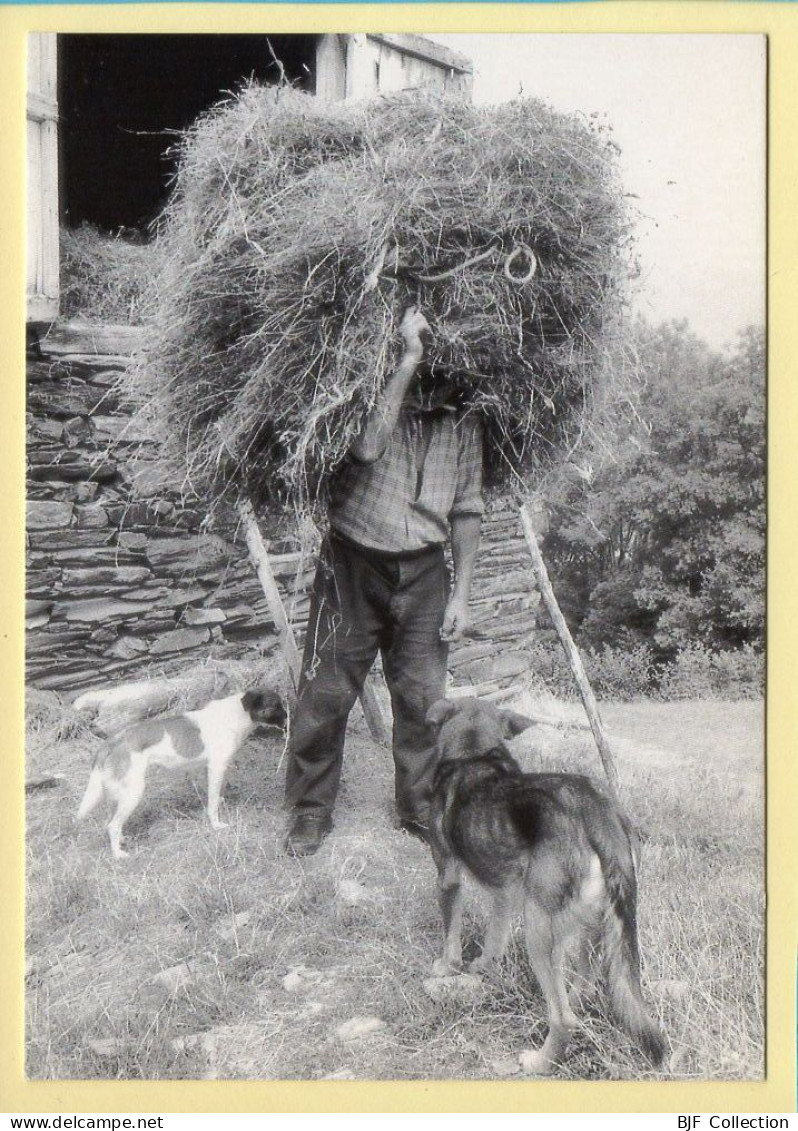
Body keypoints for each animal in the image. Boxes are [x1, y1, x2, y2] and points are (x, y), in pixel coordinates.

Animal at [75, 683, 285, 859]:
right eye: (276, 706)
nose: (288, 719)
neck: (237, 714)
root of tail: (112, 741)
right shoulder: (217, 767)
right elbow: (213, 803)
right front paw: (216, 825)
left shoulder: (205, 769)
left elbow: (211, 796)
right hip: (133, 792)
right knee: (113, 825)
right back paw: (118, 854)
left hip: (118, 792)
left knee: (110, 821)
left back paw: (122, 840)